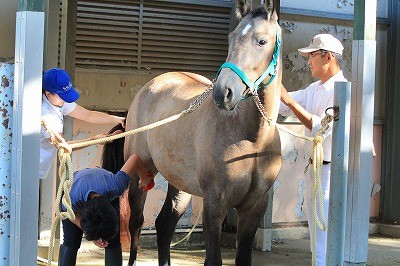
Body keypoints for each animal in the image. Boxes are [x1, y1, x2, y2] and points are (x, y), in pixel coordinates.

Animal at [119, 1, 282, 264]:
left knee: (164, 225)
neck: (253, 139)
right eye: (231, 38)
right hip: (140, 172)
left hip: (180, 184)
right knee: (136, 224)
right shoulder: (215, 204)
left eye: (262, 41)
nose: (223, 93)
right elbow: (213, 259)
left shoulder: (254, 208)